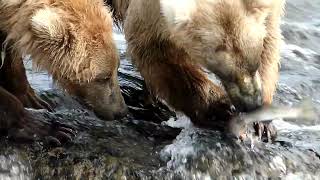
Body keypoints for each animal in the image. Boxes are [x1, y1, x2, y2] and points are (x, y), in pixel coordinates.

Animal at [107, 0, 284, 141]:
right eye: (226, 75)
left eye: (254, 66)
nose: (252, 105)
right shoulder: (151, 15)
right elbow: (157, 53)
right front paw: (220, 111)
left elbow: (270, 36)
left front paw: (263, 124)